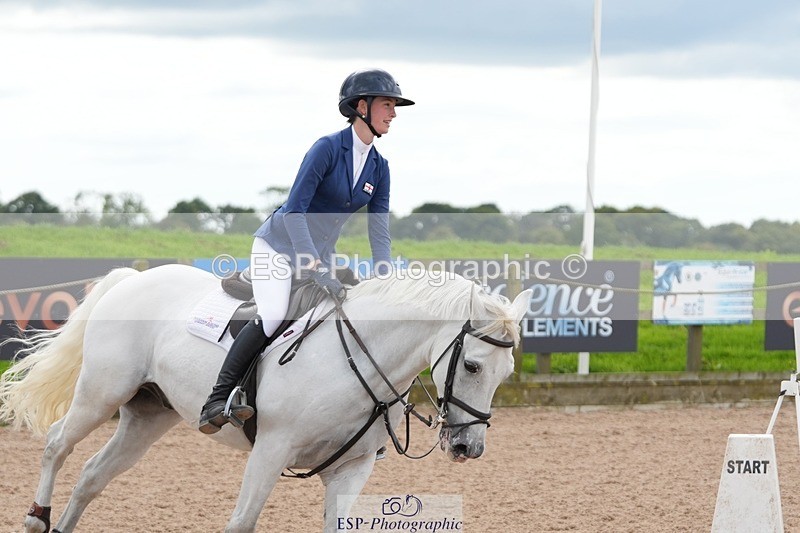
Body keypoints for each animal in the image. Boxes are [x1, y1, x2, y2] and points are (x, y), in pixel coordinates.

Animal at [0, 263, 532, 532]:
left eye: (505, 373)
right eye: (472, 366)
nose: (467, 447)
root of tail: (132, 278)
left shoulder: (352, 468)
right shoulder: (270, 451)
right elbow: (241, 522)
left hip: (148, 415)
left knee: (93, 475)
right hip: (101, 393)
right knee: (57, 444)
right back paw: (36, 518)